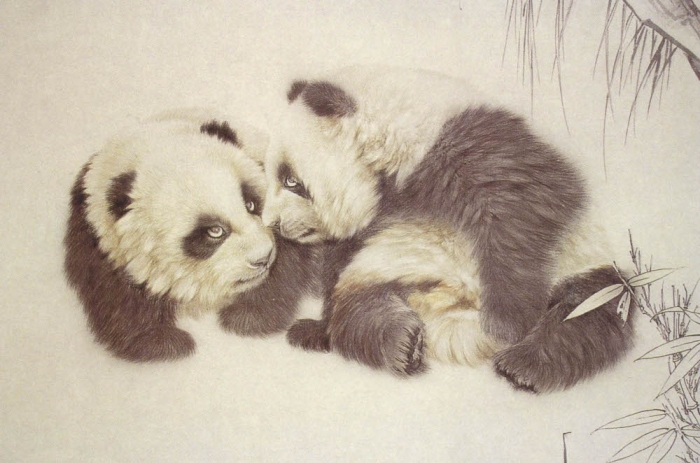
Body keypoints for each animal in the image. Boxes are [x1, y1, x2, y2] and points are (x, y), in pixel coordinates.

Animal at [64, 110, 321, 362]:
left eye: (251, 204)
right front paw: (161, 343)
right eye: (214, 231)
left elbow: (287, 267)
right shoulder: (95, 240)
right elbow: (117, 298)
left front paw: (247, 318)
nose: (263, 258)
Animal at [261, 66, 635, 392]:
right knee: (359, 307)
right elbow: (339, 265)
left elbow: (520, 215)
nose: (272, 224)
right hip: (383, 275)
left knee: (590, 316)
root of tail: (452, 310)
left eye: (291, 181)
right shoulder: (375, 221)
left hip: (585, 266)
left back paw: (523, 366)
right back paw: (401, 344)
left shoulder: (479, 145)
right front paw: (315, 329)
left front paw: (506, 324)